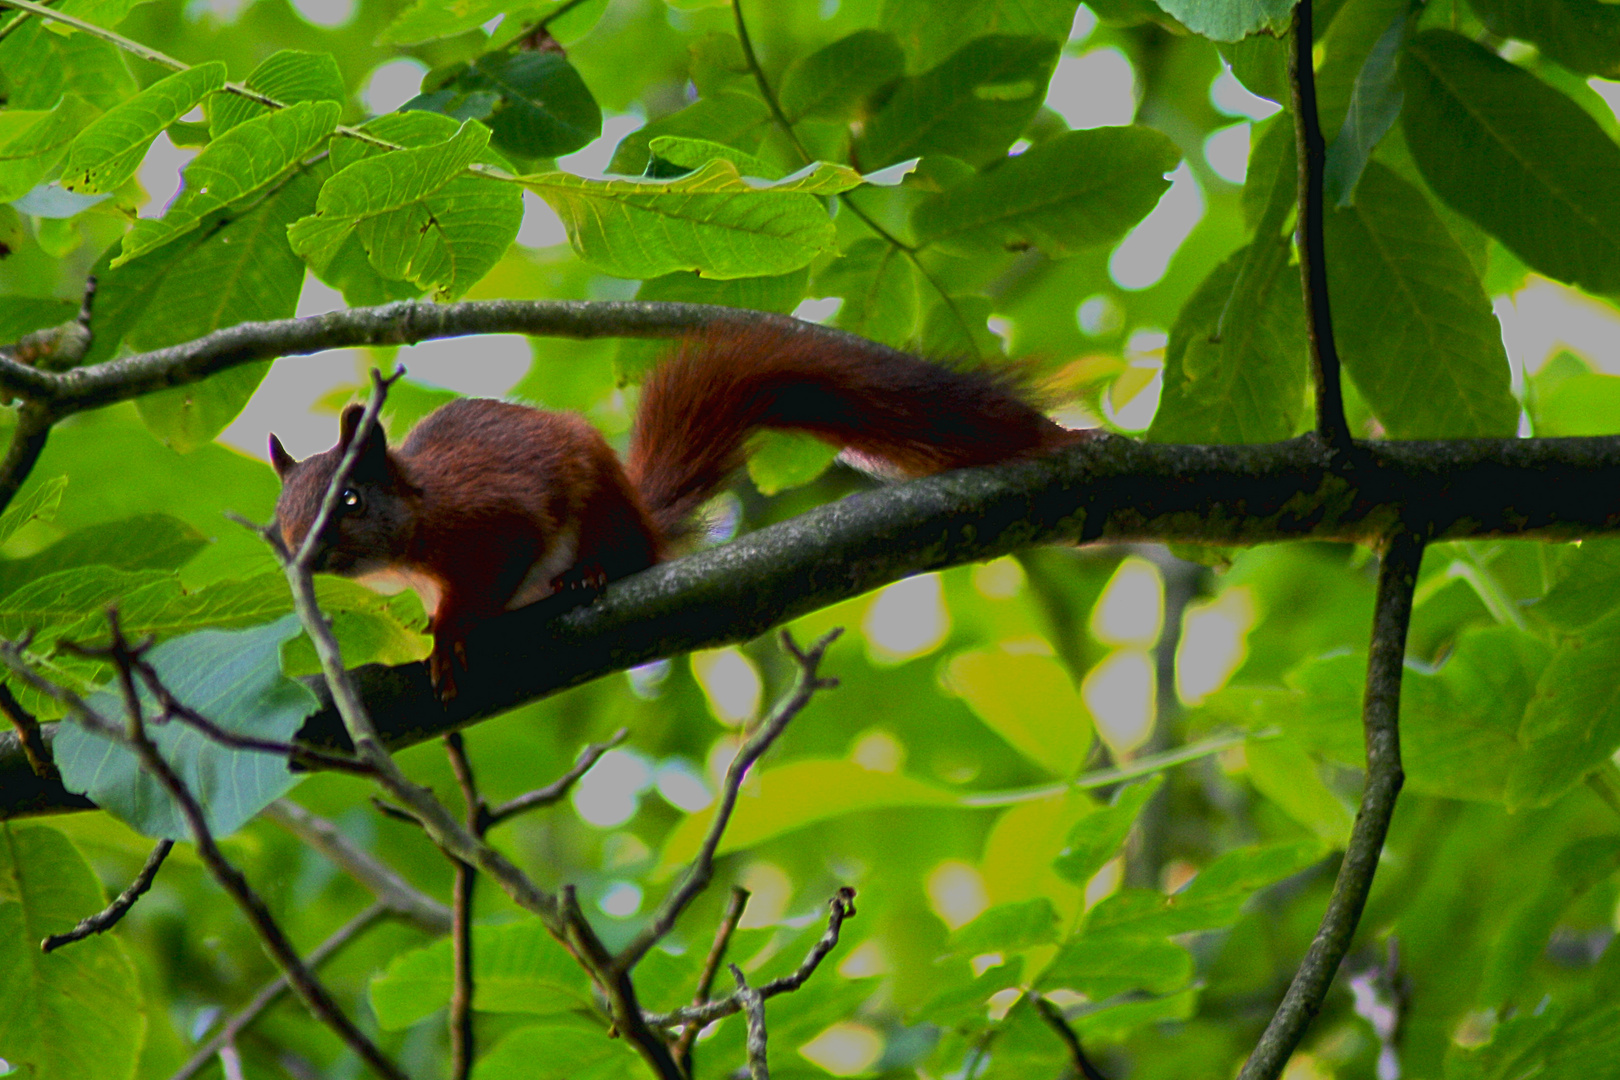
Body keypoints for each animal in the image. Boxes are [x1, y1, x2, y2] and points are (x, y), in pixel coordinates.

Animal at [272, 320, 1088, 696]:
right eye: (279, 529)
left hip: (601, 502)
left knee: (630, 554)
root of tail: (642, 512)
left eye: (350, 498)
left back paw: (591, 574)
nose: (306, 558)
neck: (419, 524)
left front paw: (447, 636)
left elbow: (496, 562)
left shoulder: (493, 514)